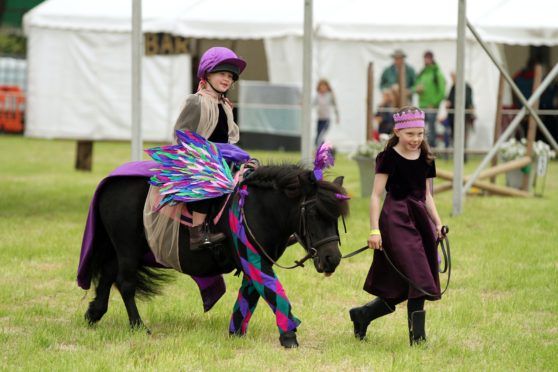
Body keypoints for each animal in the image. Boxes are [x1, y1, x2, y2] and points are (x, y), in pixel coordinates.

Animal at [82, 163, 350, 348]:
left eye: (337, 217)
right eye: (314, 213)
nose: (332, 259)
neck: (258, 207)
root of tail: (110, 183)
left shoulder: (255, 260)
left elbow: (251, 294)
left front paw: (236, 332)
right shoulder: (255, 260)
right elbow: (272, 292)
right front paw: (288, 336)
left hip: (120, 248)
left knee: (108, 274)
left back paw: (94, 314)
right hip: (127, 247)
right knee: (125, 284)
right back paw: (138, 326)